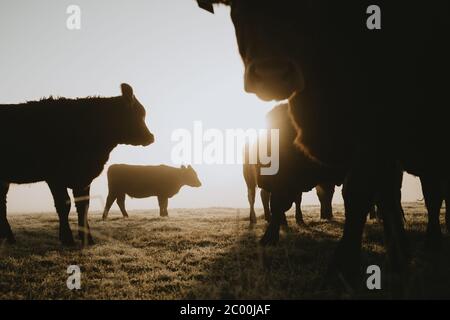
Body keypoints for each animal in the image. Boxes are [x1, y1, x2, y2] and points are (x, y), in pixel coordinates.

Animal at [0, 84, 154, 246]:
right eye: (137, 113)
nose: (151, 137)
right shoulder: (55, 177)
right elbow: (64, 205)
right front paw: (67, 238)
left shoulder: (83, 178)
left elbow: (83, 206)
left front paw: (88, 238)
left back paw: (8, 238)